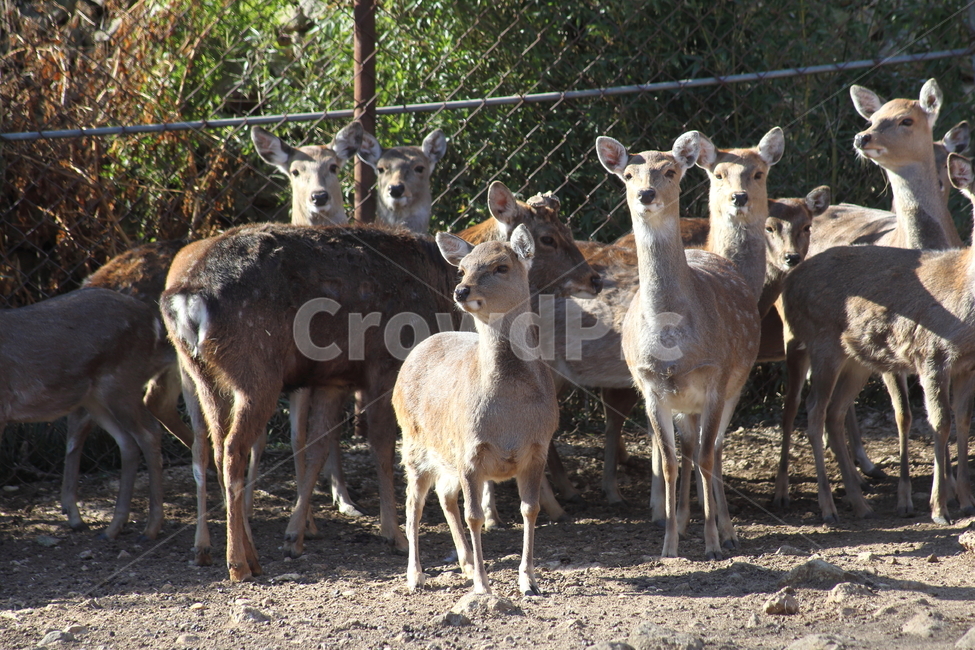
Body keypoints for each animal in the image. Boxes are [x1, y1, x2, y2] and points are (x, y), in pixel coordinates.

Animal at [1, 288, 169, 540]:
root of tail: (152, 318)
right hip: (95, 399)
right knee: (127, 441)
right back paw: (112, 528)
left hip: (121, 383)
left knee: (149, 432)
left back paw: (150, 529)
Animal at [395, 225, 558, 596]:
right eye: (462, 268)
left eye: (501, 267)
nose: (461, 290)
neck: (509, 418)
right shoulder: (470, 451)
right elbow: (476, 516)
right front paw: (484, 586)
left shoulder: (538, 447)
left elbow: (530, 510)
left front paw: (529, 581)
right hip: (413, 442)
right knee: (413, 505)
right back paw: (416, 575)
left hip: (445, 455)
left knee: (443, 495)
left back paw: (466, 564)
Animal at [596, 131, 762, 560]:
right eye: (628, 174)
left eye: (670, 170)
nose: (646, 193)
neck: (671, 342)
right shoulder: (651, 386)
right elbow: (669, 461)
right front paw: (668, 544)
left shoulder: (716, 377)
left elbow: (705, 456)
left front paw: (713, 543)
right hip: (685, 402)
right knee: (690, 446)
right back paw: (688, 522)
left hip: (736, 383)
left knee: (714, 448)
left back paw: (728, 531)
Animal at [776, 79, 965, 517]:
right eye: (873, 117)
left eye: (907, 119)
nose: (863, 137)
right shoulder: (901, 353)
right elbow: (904, 415)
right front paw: (908, 497)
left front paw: (948, 488)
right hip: (801, 341)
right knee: (799, 406)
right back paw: (793, 491)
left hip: (853, 358)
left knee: (836, 408)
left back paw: (861, 475)